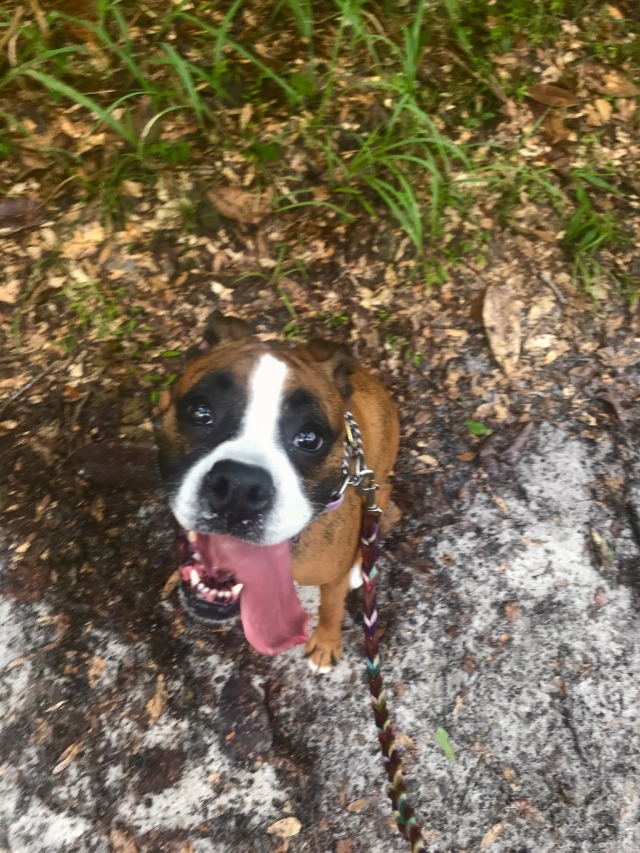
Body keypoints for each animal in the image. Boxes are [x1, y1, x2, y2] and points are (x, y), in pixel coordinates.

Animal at [155, 312, 398, 672]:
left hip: (378, 491)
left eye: (310, 438)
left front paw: (326, 644)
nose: (240, 487)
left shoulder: (331, 577)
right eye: (200, 411)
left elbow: (331, 607)